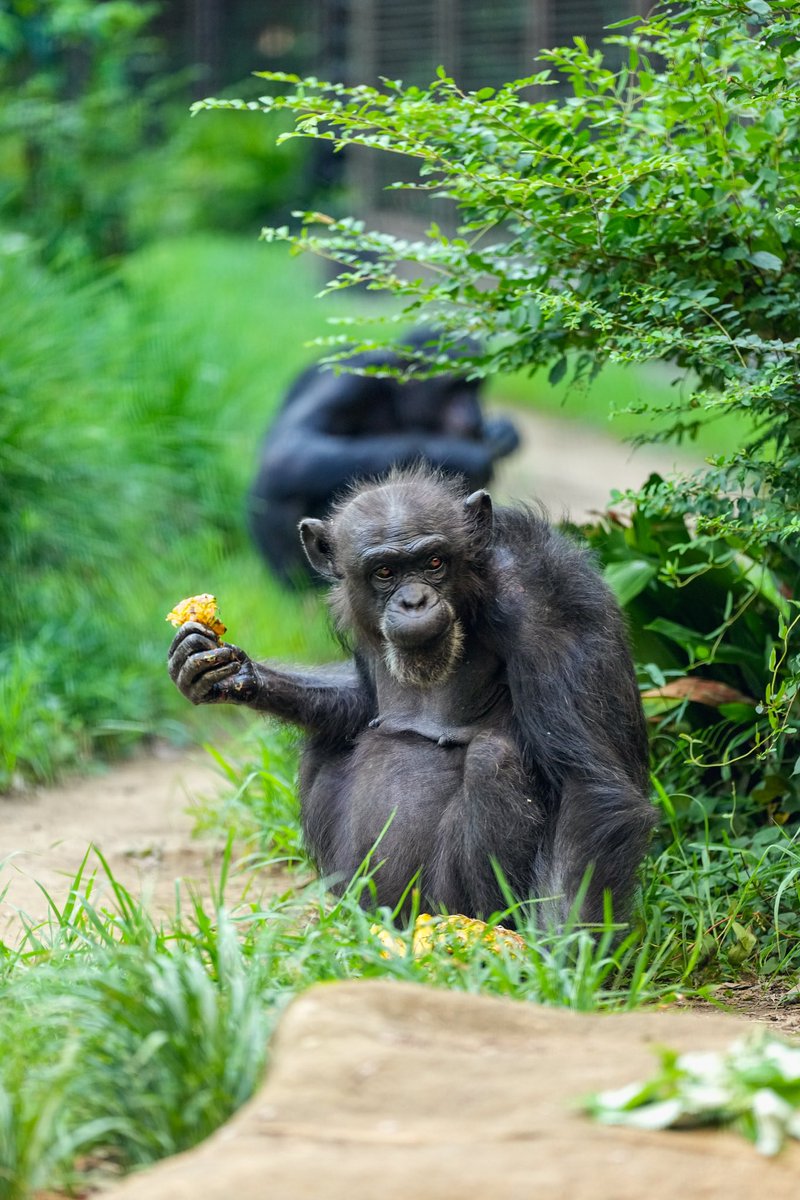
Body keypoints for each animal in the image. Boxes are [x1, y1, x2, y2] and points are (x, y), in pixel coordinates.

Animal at [170, 465, 656, 924]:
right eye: (384, 572)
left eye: (434, 562)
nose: (414, 600)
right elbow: (363, 703)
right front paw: (232, 671)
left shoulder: (546, 606)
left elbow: (587, 786)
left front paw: (562, 958)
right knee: (327, 742)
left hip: (438, 902)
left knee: (493, 758)